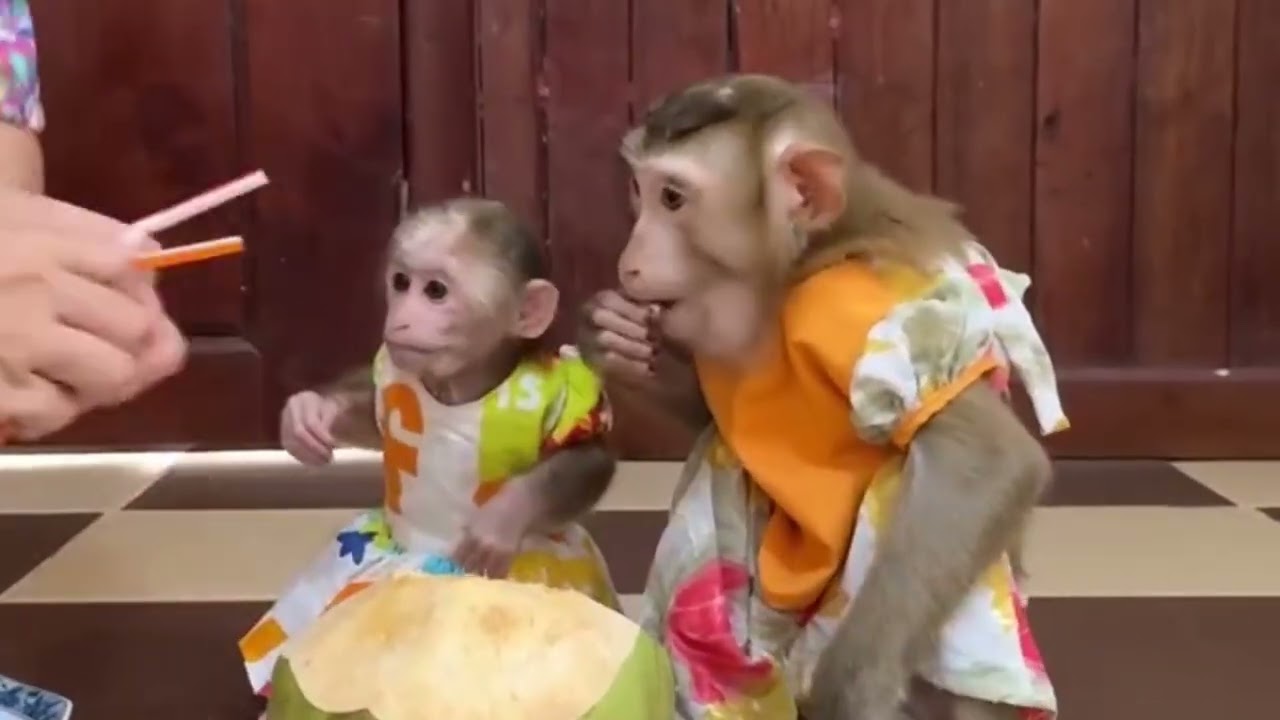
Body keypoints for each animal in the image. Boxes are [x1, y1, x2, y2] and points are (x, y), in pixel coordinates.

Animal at [239, 197, 621, 702]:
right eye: (401, 282)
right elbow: (371, 414)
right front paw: (309, 415)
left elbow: (586, 457)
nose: (401, 314)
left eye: (436, 291)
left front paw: (504, 515)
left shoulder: (569, 393)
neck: (463, 385)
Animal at [580, 75, 1066, 720]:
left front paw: (853, 686)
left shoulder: (851, 312)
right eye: (641, 190)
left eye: (674, 199)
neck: (796, 271)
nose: (628, 261)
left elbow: (988, 459)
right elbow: (706, 415)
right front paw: (615, 339)